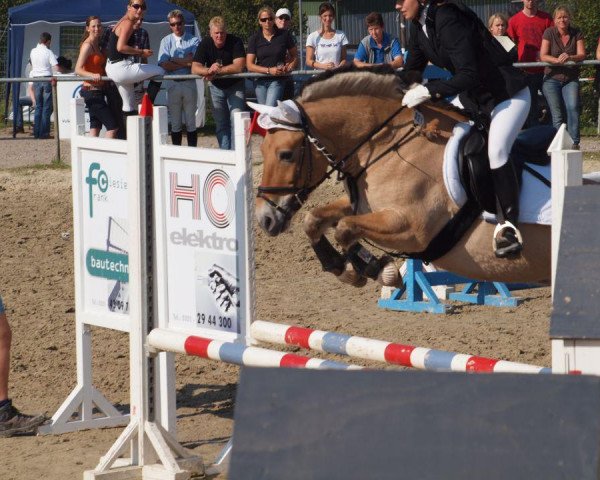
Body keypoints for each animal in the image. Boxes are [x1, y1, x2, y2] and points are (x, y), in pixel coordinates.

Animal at [251, 65, 552, 286]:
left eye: (286, 154)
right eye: (262, 150)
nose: (265, 219)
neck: (387, 143)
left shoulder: (411, 228)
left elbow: (345, 228)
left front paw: (378, 269)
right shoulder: (364, 206)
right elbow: (314, 220)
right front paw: (344, 270)